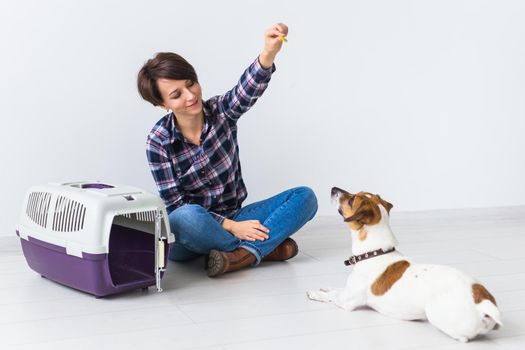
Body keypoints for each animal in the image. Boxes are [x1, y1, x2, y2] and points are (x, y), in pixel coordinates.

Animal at [304, 187, 502, 344]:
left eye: (351, 199)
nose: (333, 188)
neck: (375, 252)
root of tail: (483, 301)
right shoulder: (347, 290)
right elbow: (337, 289)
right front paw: (326, 288)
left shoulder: (347, 301)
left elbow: (333, 296)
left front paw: (315, 294)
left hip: (437, 315)